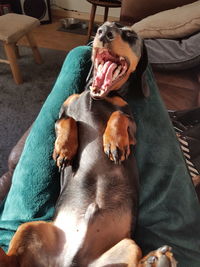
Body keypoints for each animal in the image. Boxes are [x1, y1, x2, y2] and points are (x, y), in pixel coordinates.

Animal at [0, 22, 177, 266]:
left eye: (130, 35)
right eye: (103, 27)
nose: (104, 32)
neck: (98, 96)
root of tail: (71, 261)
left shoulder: (132, 126)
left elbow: (118, 116)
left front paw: (114, 142)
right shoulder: (63, 111)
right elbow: (67, 121)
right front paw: (64, 149)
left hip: (128, 246)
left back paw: (157, 258)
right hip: (29, 227)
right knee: (11, 258)